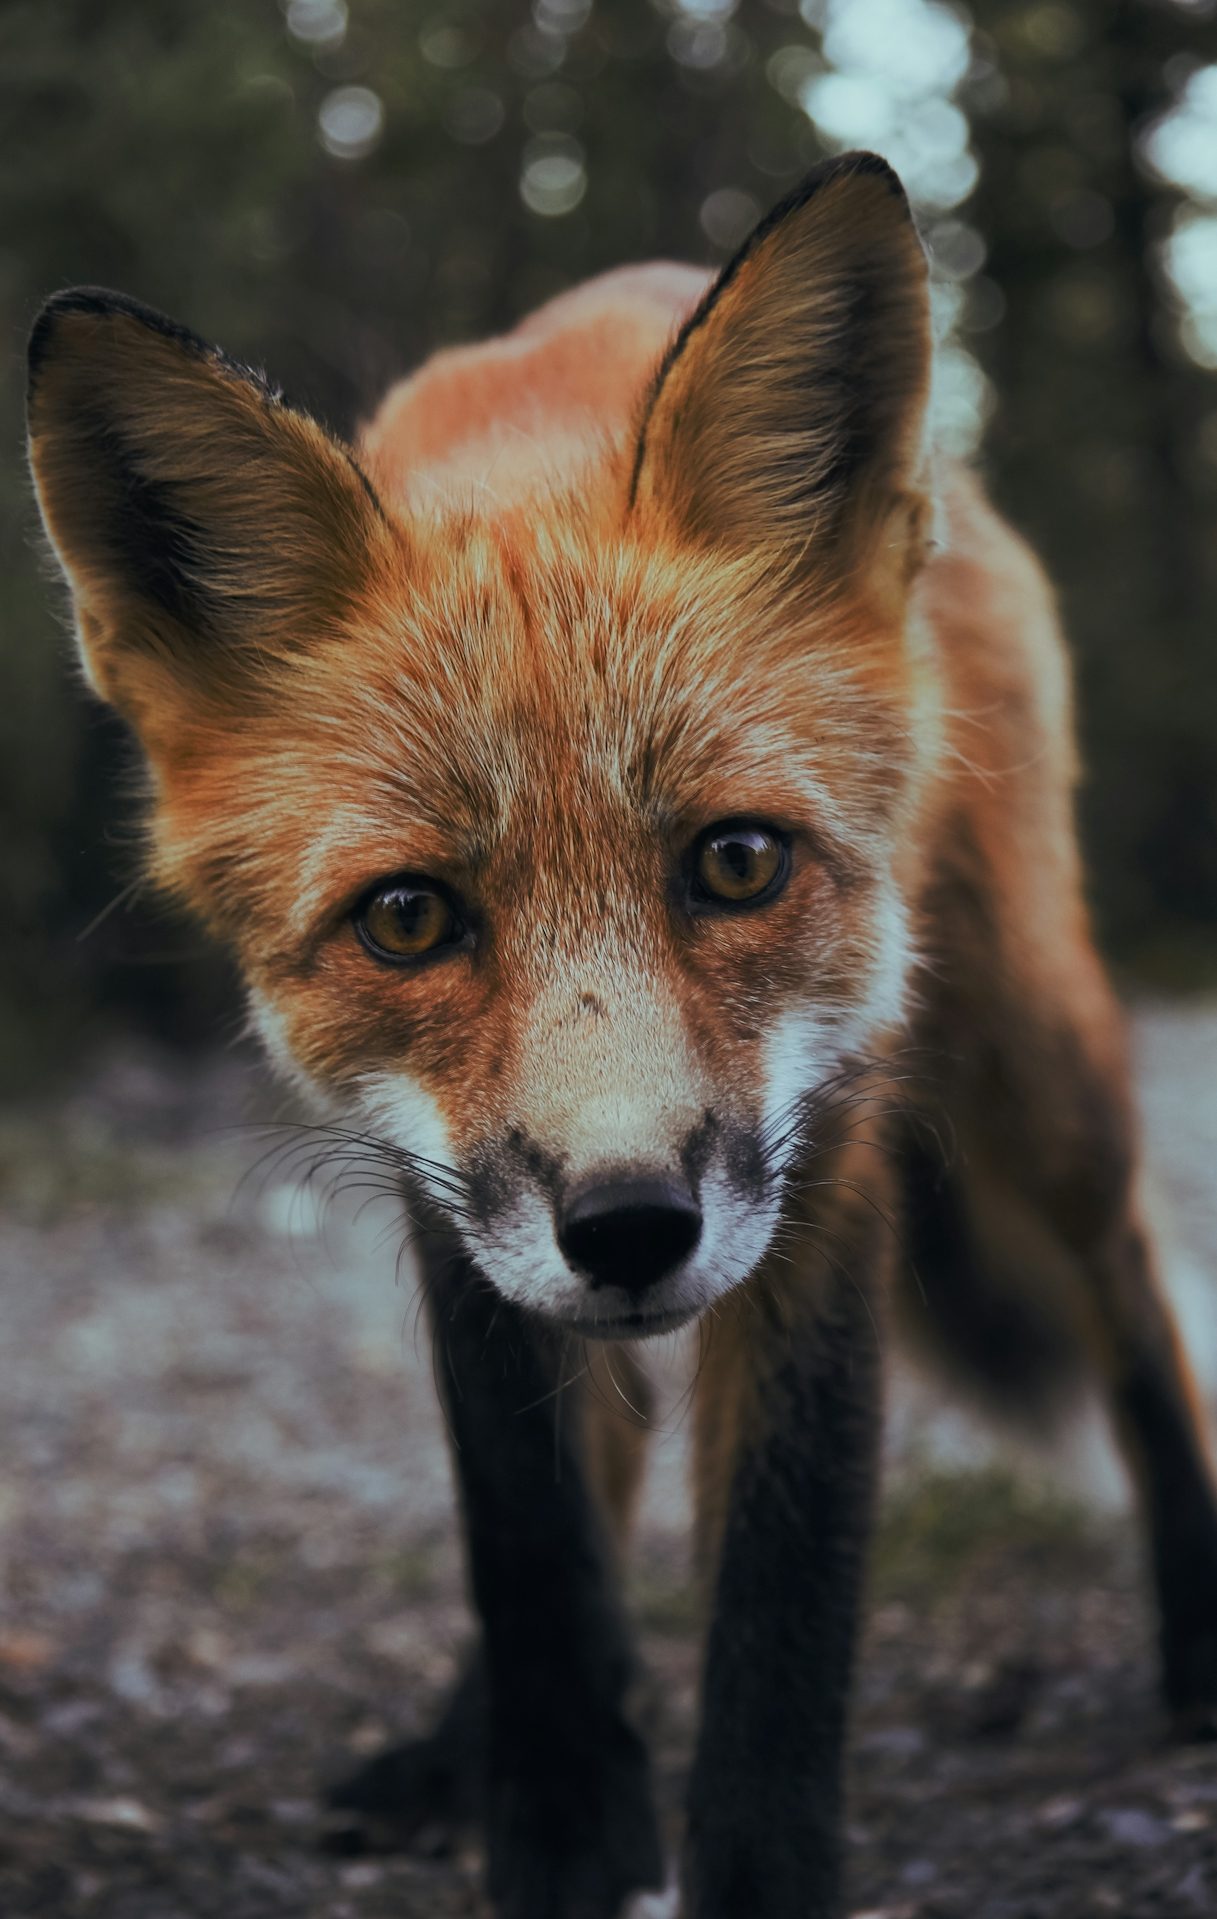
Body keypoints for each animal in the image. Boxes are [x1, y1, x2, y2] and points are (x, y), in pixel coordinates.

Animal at [26, 152, 1217, 1919]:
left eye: (735, 861)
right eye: (408, 917)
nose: (634, 1225)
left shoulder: (824, 1151)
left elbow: (785, 1585)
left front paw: (754, 1867)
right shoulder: (447, 1192)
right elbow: (529, 1535)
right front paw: (562, 1830)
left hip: (1033, 1047)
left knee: (1129, 1286)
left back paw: (1198, 1629)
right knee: (616, 1434)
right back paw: (455, 1740)